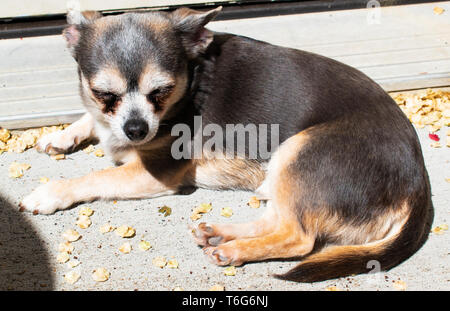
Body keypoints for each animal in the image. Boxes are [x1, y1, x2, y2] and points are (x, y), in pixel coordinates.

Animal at [20, 6, 432, 282]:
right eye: (104, 93)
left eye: (161, 92)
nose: (136, 129)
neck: (193, 77)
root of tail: (419, 185)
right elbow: (90, 119)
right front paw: (61, 134)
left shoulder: (152, 174)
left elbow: (94, 177)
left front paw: (50, 192)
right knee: (277, 220)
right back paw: (222, 233)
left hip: (297, 151)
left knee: (298, 237)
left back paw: (235, 249)